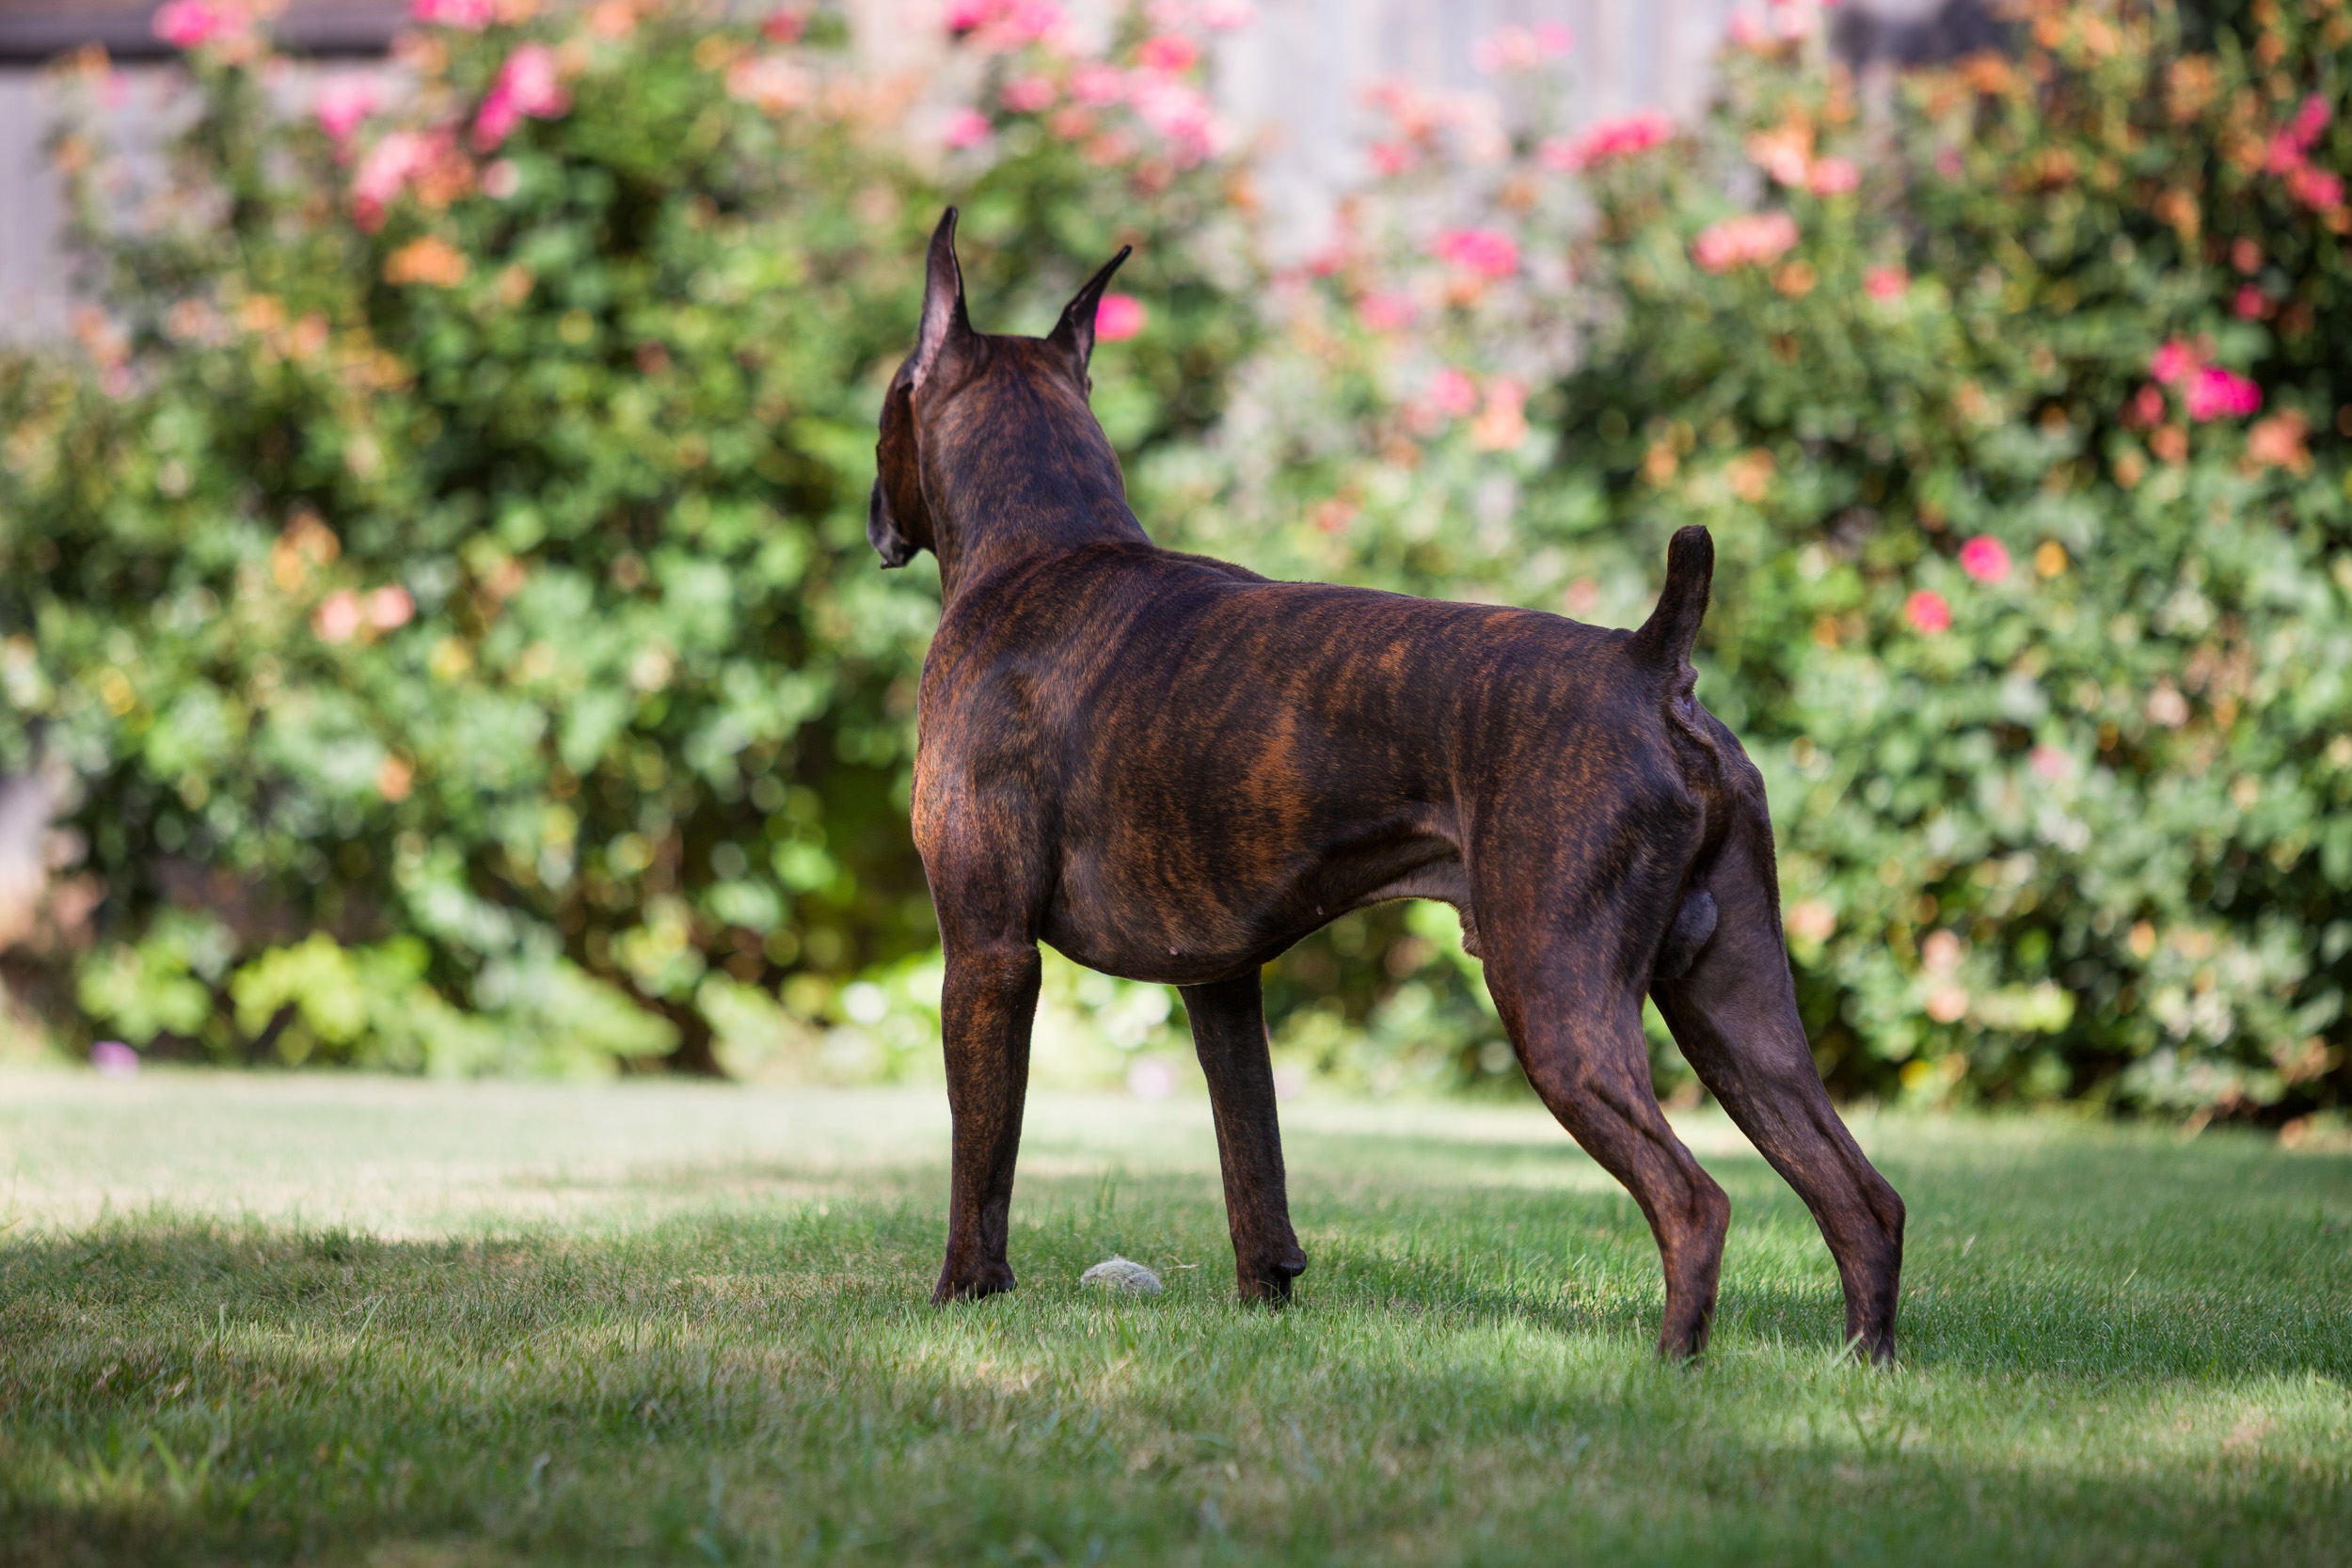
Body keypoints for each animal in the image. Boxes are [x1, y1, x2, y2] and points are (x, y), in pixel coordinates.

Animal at [867, 210, 1906, 1359]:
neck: (1047, 543)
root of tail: (1649, 663)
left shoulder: (988, 954)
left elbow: (982, 1158)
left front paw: (963, 1296)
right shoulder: (1222, 986)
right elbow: (1254, 1159)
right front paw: (1265, 1296)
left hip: (1559, 1001)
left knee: (1693, 1200)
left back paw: (1671, 1367)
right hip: (1740, 1010)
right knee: (1859, 1194)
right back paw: (1864, 1366)